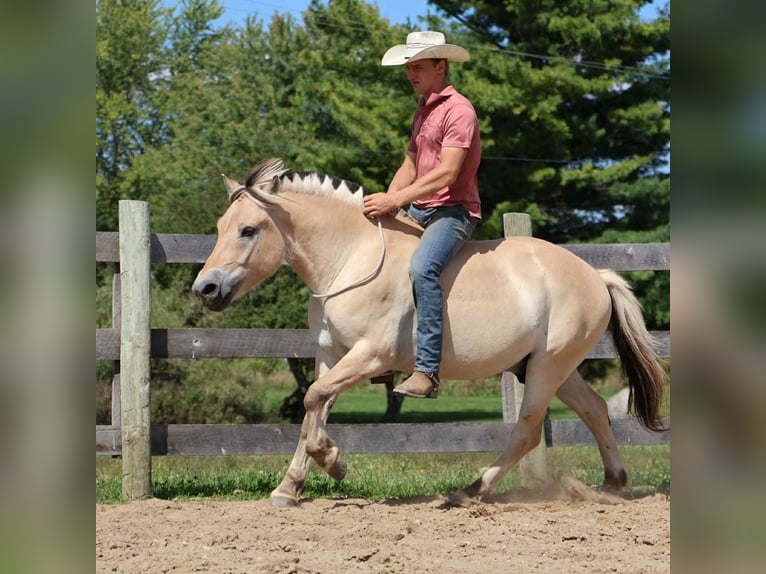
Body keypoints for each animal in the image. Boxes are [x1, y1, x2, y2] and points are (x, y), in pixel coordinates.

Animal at [192, 158, 666, 508]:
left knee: (529, 430)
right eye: (218, 227)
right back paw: (613, 483)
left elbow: (313, 400)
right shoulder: (330, 354)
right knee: (595, 411)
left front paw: (334, 462)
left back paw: (471, 491)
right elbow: (315, 406)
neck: (351, 257)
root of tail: (595, 275)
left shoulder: (371, 355)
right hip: (551, 368)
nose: (205, 288)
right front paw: (289, 487)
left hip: (549, 367)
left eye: (248, 230)